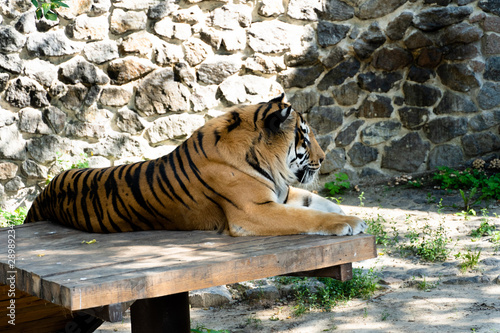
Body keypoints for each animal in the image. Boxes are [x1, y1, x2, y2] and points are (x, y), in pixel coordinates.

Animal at [24, 94, 368, 236]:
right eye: (305, 138)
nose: (323, 159)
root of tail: (42, 194)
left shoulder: (280, 193)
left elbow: (317, 201)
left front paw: (350, 212)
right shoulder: (253, 210)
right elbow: (308, 216)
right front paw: (349, 222)